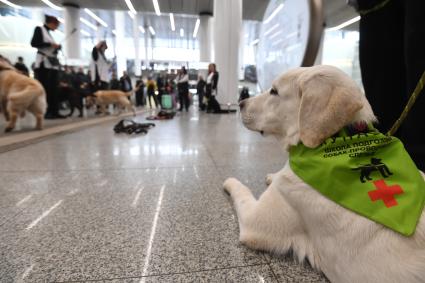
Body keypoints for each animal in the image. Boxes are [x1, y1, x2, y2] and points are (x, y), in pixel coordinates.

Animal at [222, 65, 424, 282]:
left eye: (274, 91)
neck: (336, 140)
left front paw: (230, 180)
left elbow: (241, 189)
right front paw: (272, 176)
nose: (240, 103)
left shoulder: (254, 222)